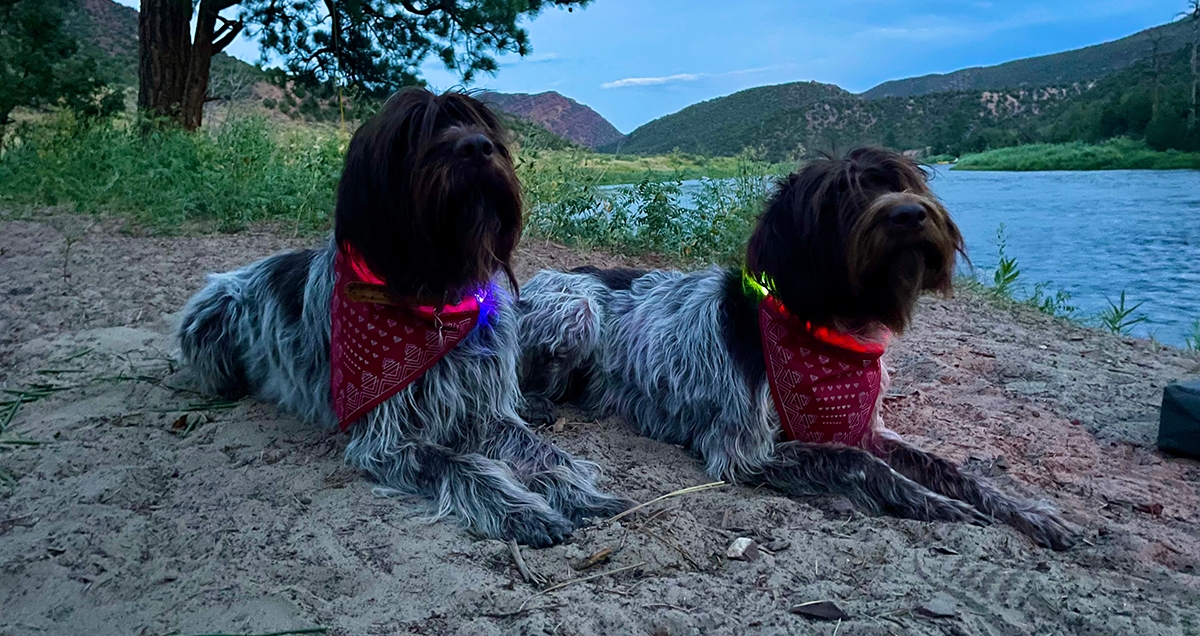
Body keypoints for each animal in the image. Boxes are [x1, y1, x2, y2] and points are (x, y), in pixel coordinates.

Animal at [180, 88, 628, 544]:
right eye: (413, 133)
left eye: (481, 125)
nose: (478, 147)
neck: (437, 295)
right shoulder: (387, 440)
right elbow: (462, 464)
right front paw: (520, 511)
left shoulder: (486, 412)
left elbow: (543, 452)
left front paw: (578, 493)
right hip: (213, 316)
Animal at [516, 145, 1080, 547]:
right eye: (838, 198)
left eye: (900, 181)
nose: (909, 214)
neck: (828, 333)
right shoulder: (745, 454)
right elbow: (857, 464)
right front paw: (939, 506)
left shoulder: (865, 429)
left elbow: (947, 466)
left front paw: (1027, 512)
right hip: (576, 309)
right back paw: (539, 405)